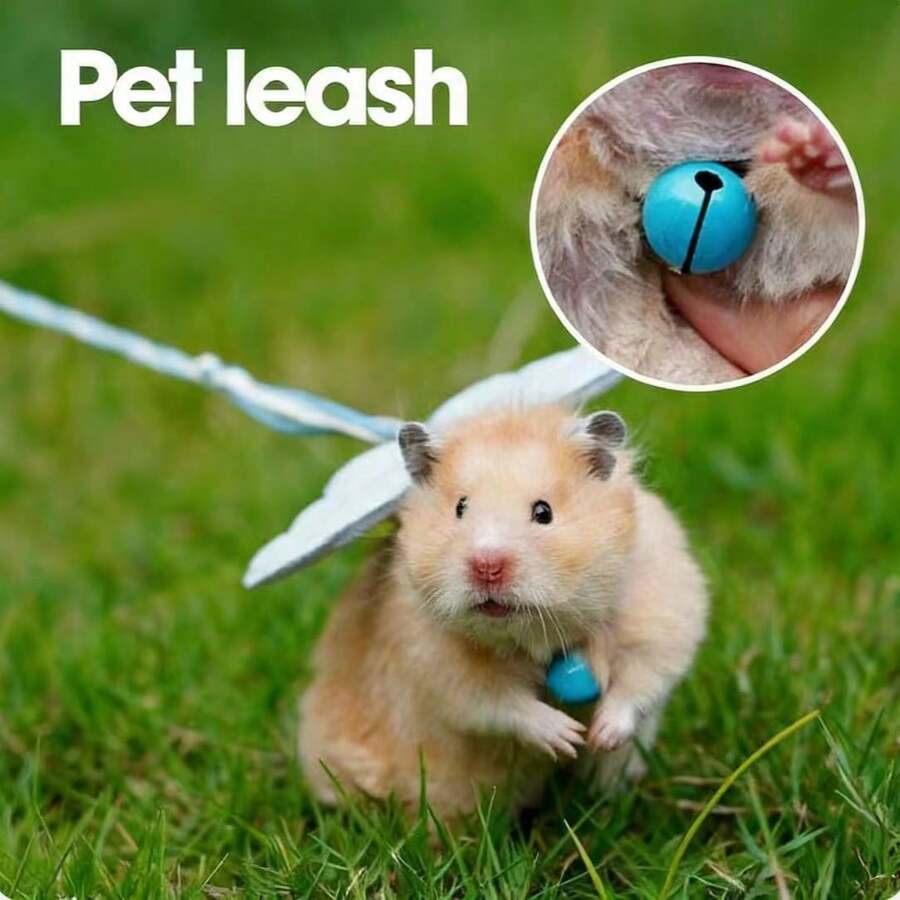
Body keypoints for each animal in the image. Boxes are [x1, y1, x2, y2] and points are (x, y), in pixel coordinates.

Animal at [298, 405, 708, 826]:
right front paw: (566, 737)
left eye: (544, 511)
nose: (487, 566)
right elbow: (499, 704)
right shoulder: (439, 665)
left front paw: (599, 736)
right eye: (460, 508)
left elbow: (640, 681)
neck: (535, 633)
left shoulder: (661, 616)